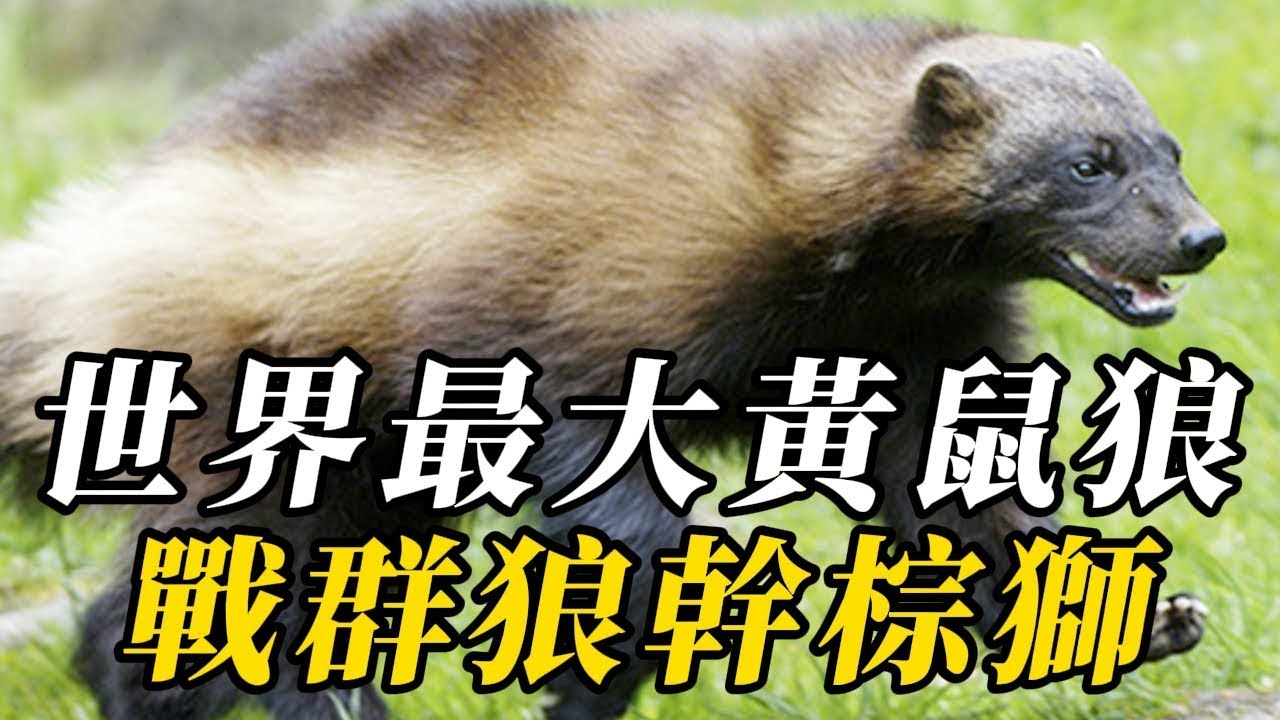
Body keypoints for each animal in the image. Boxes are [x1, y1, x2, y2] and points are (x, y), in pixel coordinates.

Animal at [0, 2, 1223, 719]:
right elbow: (599, 472)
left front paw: (1125, 615)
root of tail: (79, 253)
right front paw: (664, 581)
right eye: (1085, 163)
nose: (1199, 238)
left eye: (1166, 147)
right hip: (259, 418)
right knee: (226, 599)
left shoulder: (915, 348)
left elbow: (957, 505)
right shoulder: (577, 298)